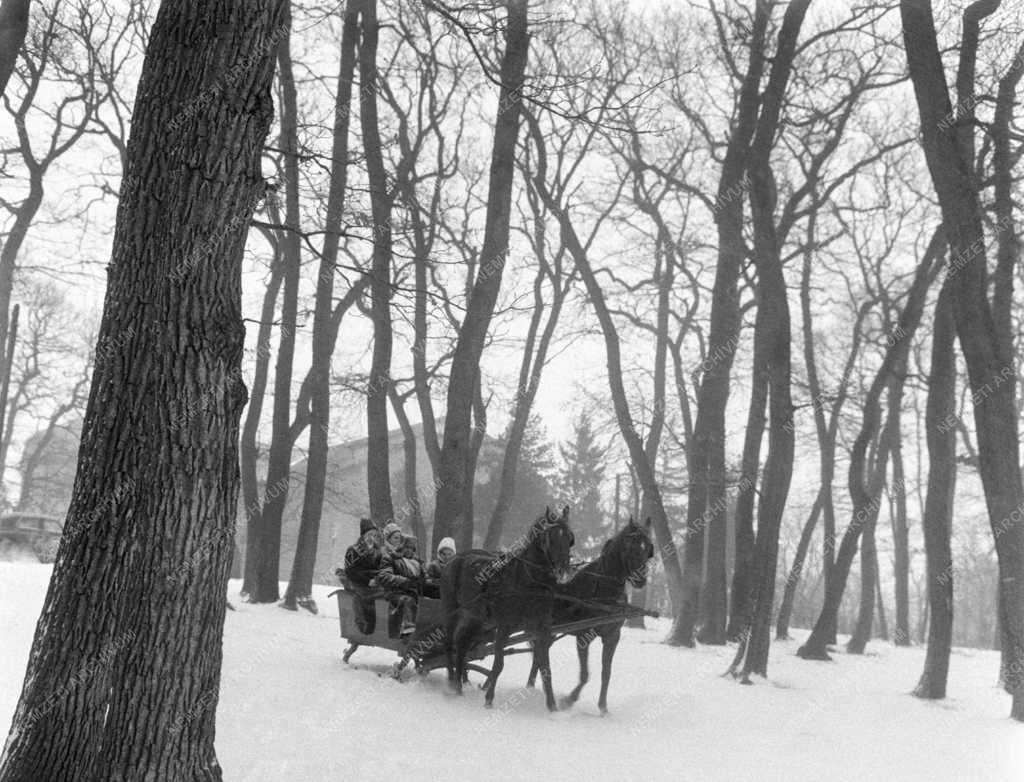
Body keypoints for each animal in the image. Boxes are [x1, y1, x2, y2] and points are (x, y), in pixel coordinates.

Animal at [442, 503, 577, 712]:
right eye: (550, 537)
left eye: (569, 538)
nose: (563, 570)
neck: (528, 581)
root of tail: (455, 558)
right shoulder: (504, 627)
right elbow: (498, 664)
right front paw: (489, 700)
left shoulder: (542, 630)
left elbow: (545, 668)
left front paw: (552, 706)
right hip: (451, 612)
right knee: (449, 643)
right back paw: (451, 682)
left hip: (477, 619)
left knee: (462, 644)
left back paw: (459, 686)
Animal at [528, 515, 655, 712]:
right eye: (630, 546)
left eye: (648, 548)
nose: (640, 580)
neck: (605, 593)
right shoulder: (584, 636)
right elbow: (585, 674)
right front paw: (569, 699)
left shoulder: (612, 637)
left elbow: (606, 673)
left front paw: (603, 707)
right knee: (538, 654)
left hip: (548, 632)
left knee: (539, 655)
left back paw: (532, 687)